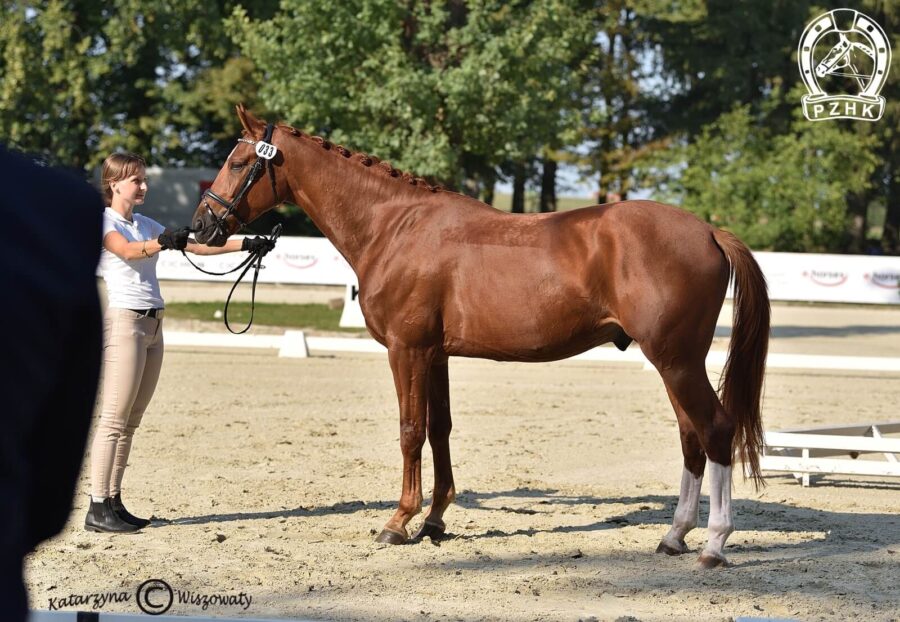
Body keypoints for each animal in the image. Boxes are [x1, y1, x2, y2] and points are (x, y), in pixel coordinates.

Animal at [190, 107, 768, 572]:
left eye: (239, 163)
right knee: (691, 438)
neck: (395, 227)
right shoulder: (435, 355)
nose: (202, 226)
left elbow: (410, 431)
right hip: (673, 364)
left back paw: (713, 544)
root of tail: (709, 230)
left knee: (716, 430)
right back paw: (674, 536)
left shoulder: (407, 350)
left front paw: (398, 522)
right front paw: (435, 521)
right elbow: (439, 430)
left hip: (677, 361)